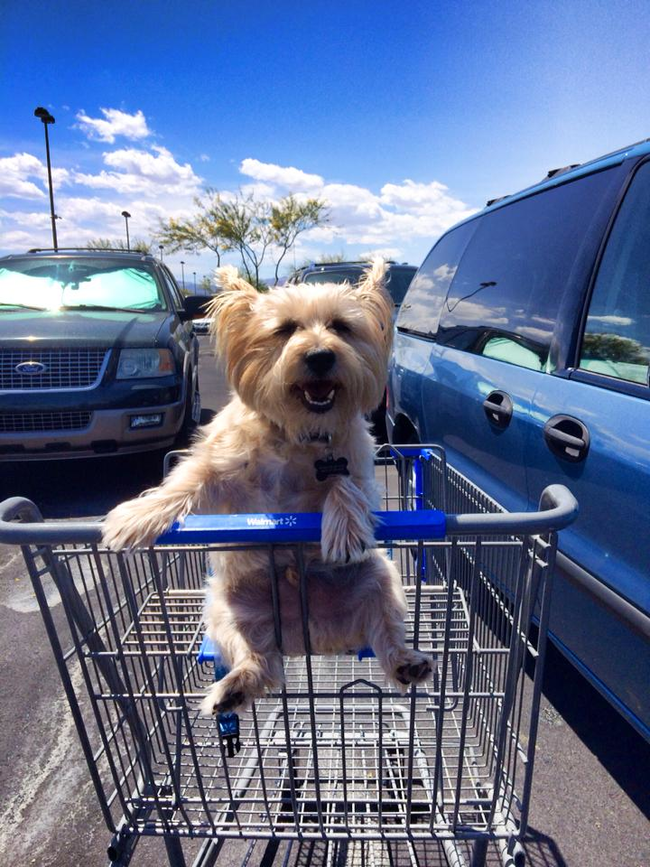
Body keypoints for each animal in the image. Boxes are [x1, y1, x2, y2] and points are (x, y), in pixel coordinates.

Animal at [101, 260, 430, 712]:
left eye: (341, 327)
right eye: (285, 329)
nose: (320, 356)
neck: (297, 432)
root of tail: (308, 636)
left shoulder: (360, 469)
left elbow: (345, 487)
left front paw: (344, 529)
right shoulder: (219, 469)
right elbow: (185, 481)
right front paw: (137, 516)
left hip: (380, 580)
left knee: (384, 630)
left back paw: (406, 662)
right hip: (228, 608)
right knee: (257, 658)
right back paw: (235, 685)